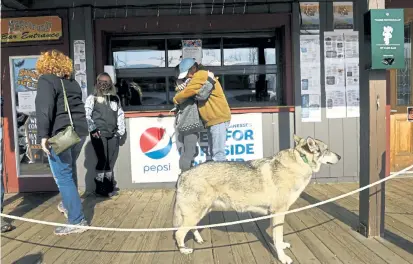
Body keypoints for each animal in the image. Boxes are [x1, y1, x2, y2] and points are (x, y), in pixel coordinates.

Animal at [172, 135, 340, 262]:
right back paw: (184, 250)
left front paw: (281, 246)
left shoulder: (274, 214)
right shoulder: (279, 212)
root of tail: (183, 174)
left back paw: (199, 239)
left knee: (191, 228)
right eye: (327, 150)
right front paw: (283, 258)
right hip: (195, 213)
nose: (339, 156)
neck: (299, 162)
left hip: (201, 211)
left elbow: (276, 237)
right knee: (178, 233)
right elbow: (277, 237)